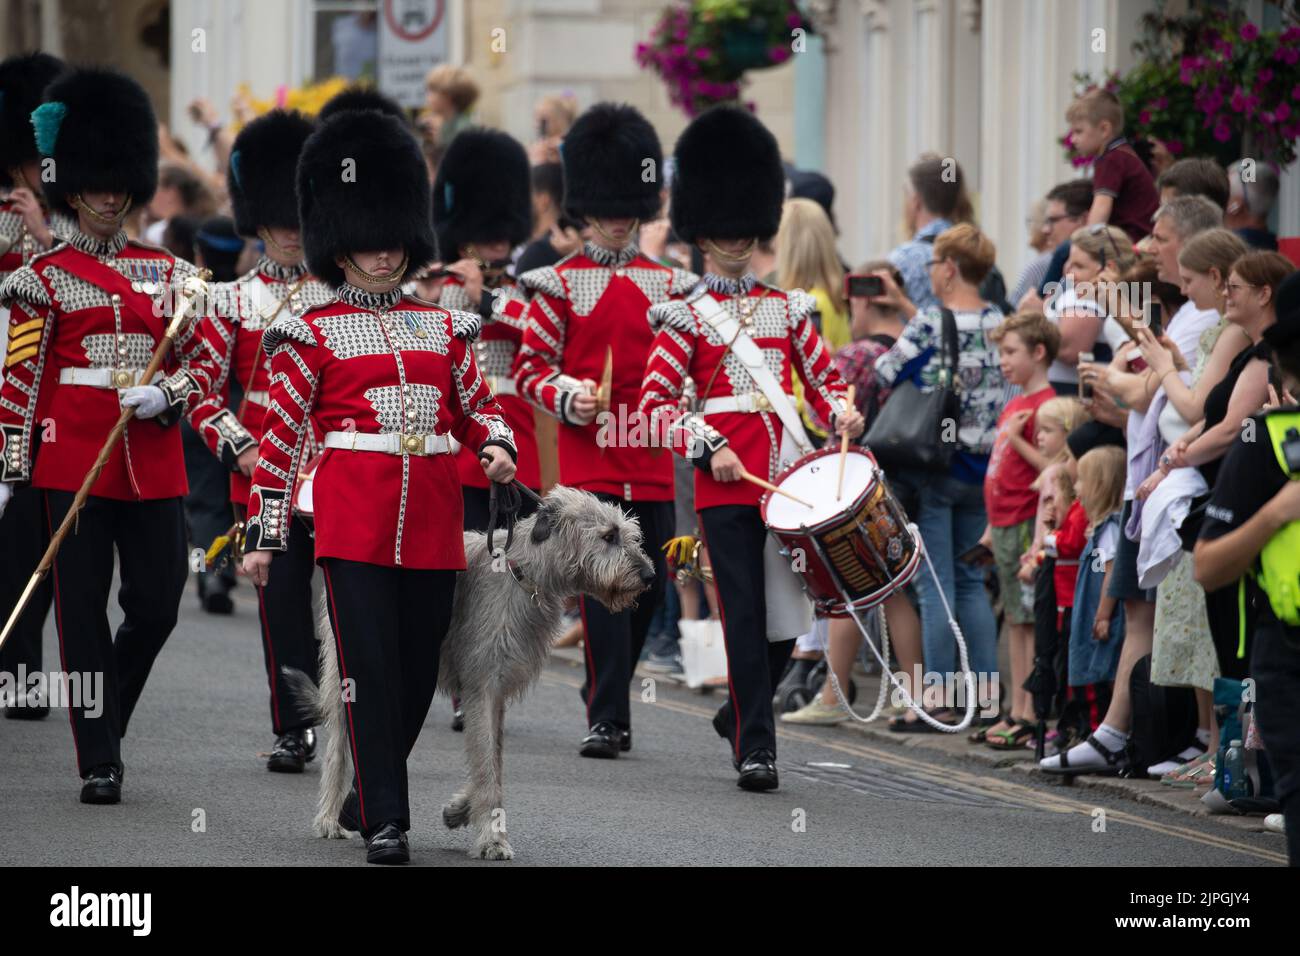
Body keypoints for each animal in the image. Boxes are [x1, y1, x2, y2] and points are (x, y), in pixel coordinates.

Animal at [301, 486, 650, 858]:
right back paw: (331, 817)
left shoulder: (495, 690)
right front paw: (492, 838)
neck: (522, 573)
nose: (650, 576)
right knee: (340, 743)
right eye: (609, 536)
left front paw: (460, 810)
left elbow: (493, 758)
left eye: (631, 535)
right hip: (346, 658)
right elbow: (486, 766)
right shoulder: (482, 684)